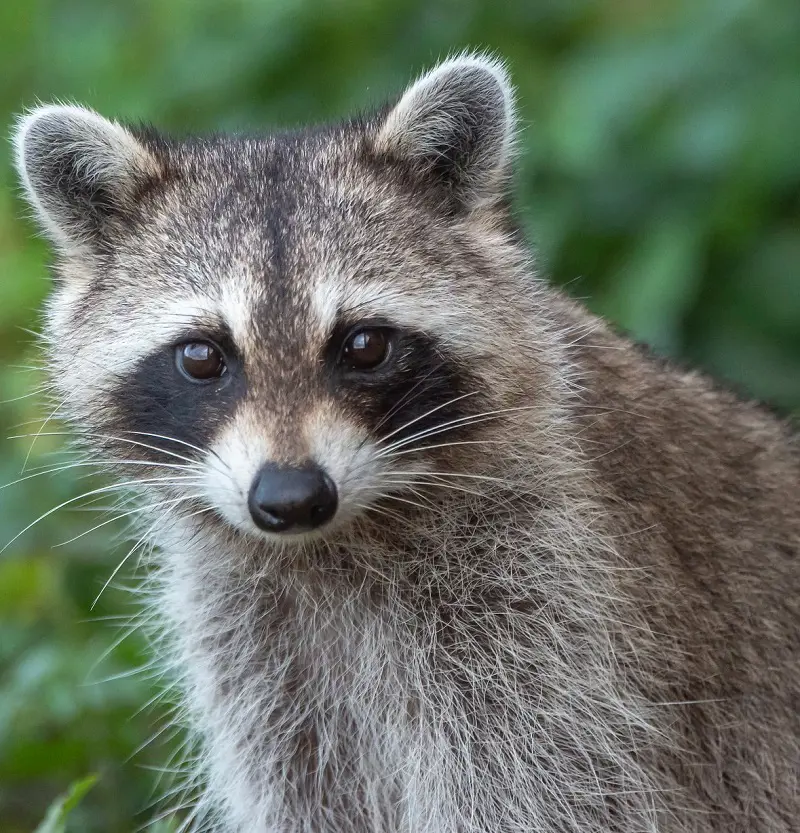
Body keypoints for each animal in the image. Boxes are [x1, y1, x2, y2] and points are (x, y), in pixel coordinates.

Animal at [12, 54, 799, 833]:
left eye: (365, 345)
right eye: (202, 356)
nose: (291, 497)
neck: (331, 550)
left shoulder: (557, 618)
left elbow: (547, 795)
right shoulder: (260, 663)